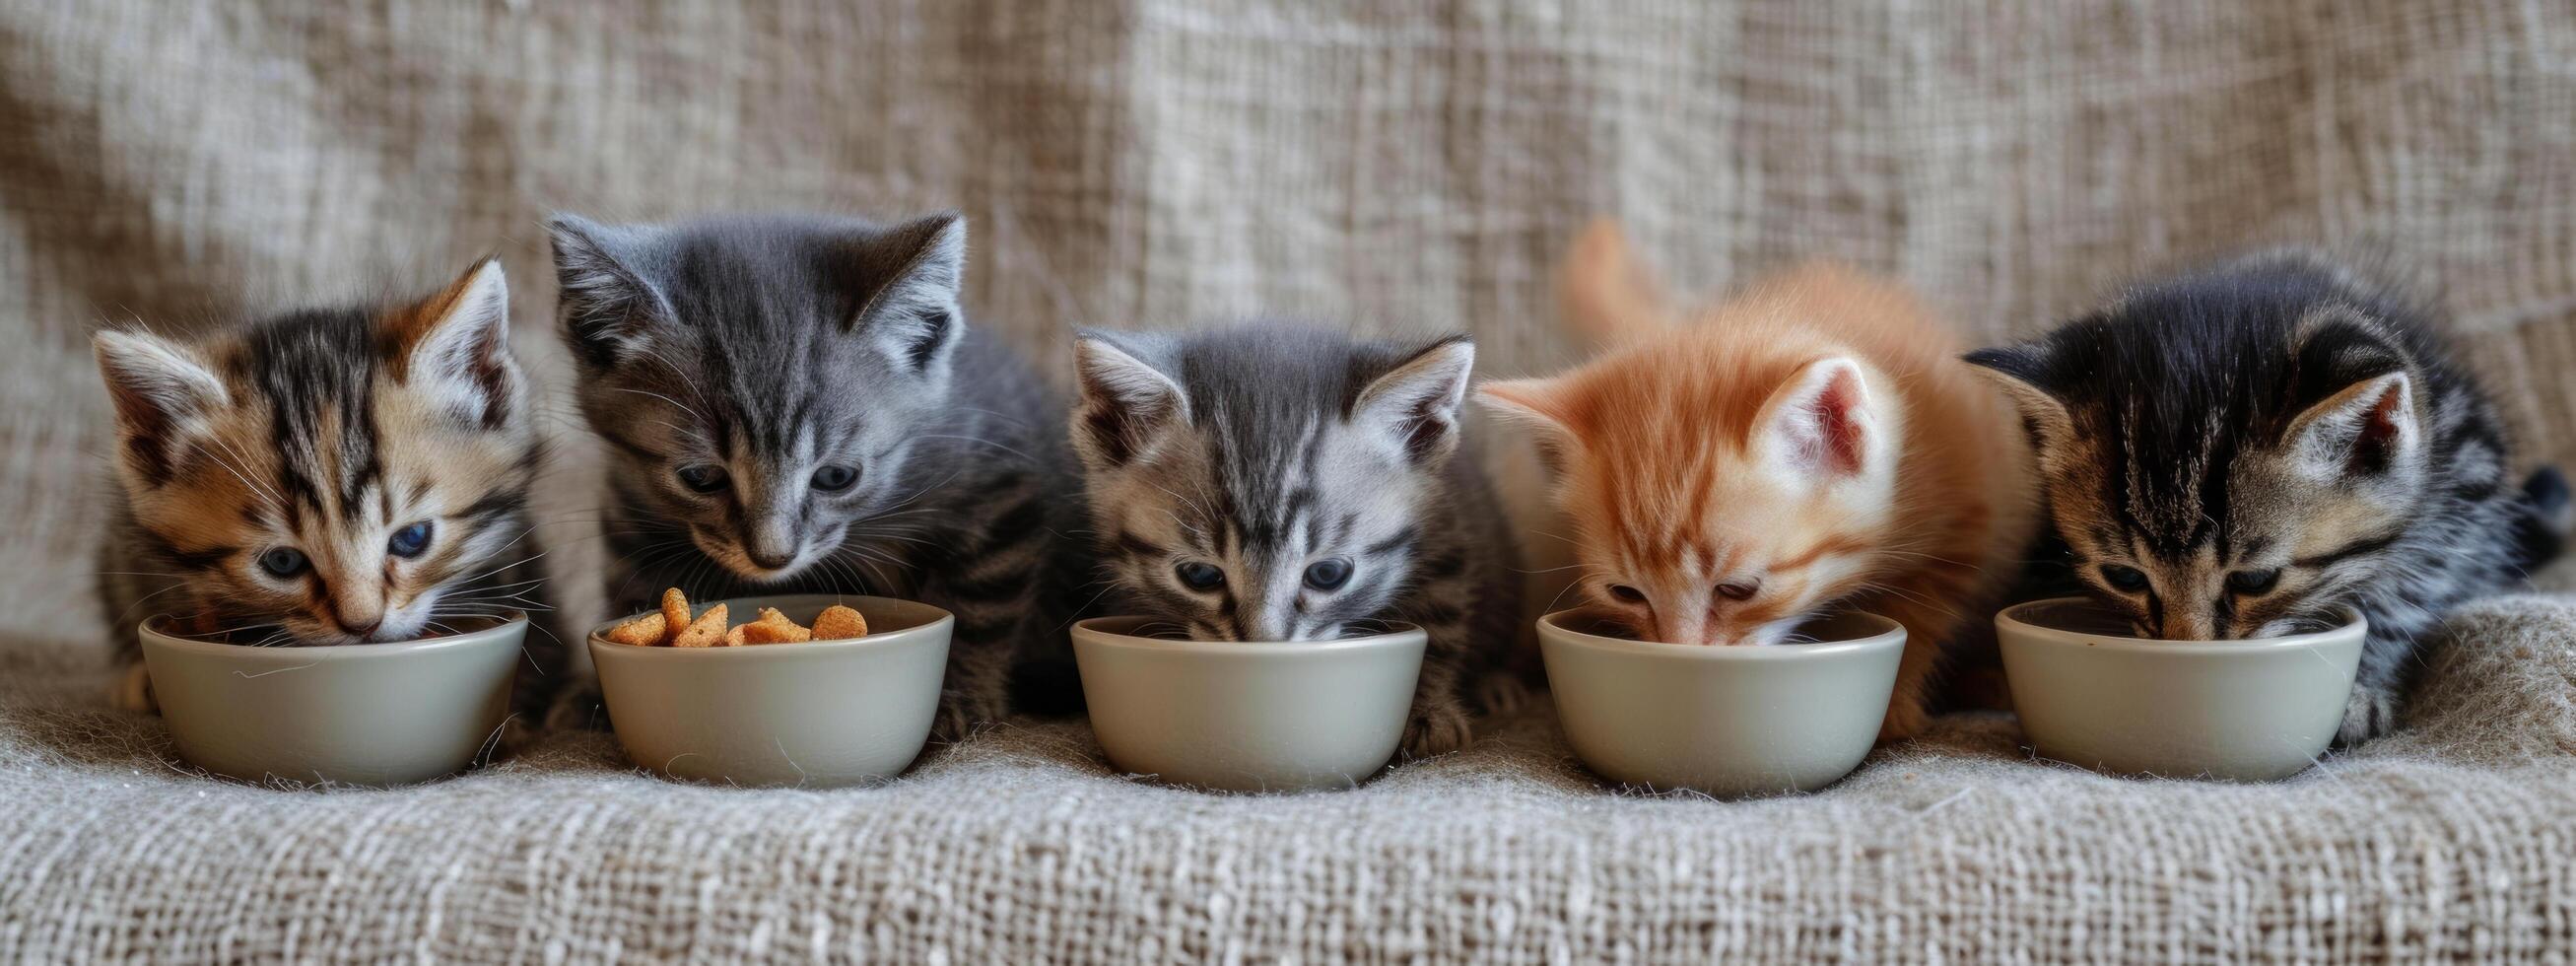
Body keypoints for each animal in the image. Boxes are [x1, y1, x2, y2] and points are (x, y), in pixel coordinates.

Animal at [551, 213, 1087, 741]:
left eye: (836, 476)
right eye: (700, 477)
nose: (773, 557)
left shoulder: (999, 490)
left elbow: (980, 605)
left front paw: (959, 693)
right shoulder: (629, 505)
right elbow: (636, 578)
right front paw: (595, 693)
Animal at [1071, 321, 1525, 762]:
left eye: (1328, 574)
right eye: (1199, 575)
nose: (1265, 646)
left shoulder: (1446, 531)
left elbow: (1440, 621)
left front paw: (1429, 711)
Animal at [1483, 225, 2040, 741]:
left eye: (1738, 590)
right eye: (1625, 593)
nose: (1679, 654)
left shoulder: (1969, 516)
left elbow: (1920, 617)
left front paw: (1896, 707)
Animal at [1957, 246, 2565, 741]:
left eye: (2255, 581)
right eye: (2125, 577)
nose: (2188, 652)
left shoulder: (2466, 486)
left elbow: (2408, 590)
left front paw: (2360, 685)